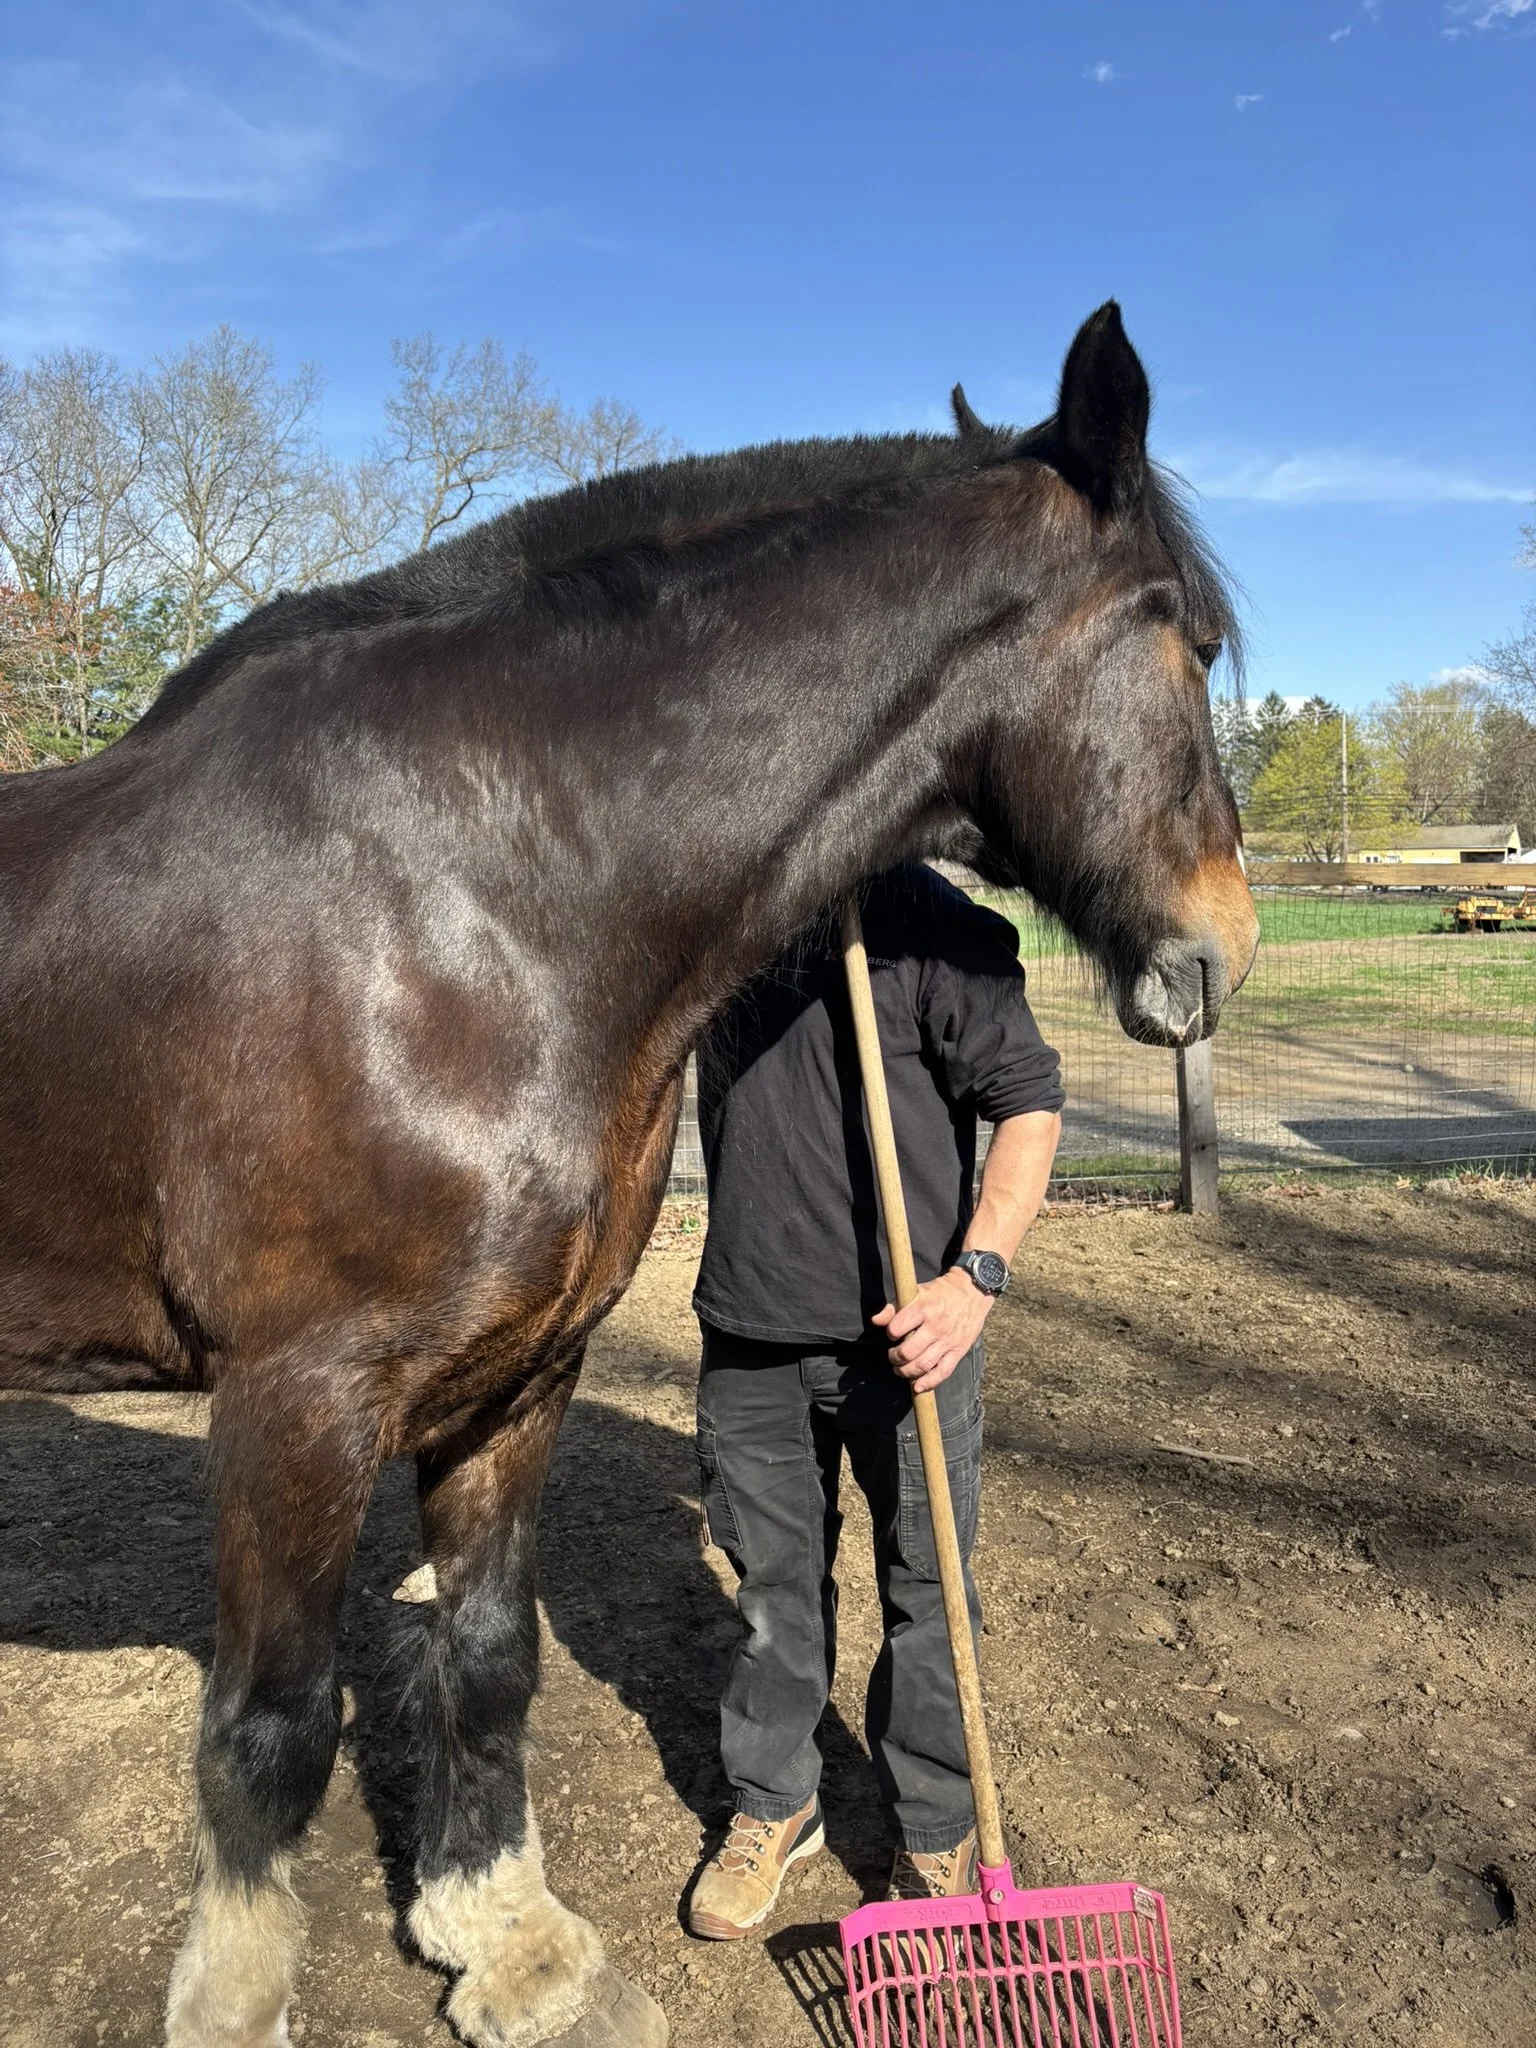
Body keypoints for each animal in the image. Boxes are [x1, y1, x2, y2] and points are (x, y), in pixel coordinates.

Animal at [0, 303, 1256, 2048]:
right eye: (1191, 642)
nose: (1224, 950)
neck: (467, 899)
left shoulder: (514, 1376)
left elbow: (485, 1654)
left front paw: (511, 1950)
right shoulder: (291, 1405)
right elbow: (268, 1736)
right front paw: (240, 2003)